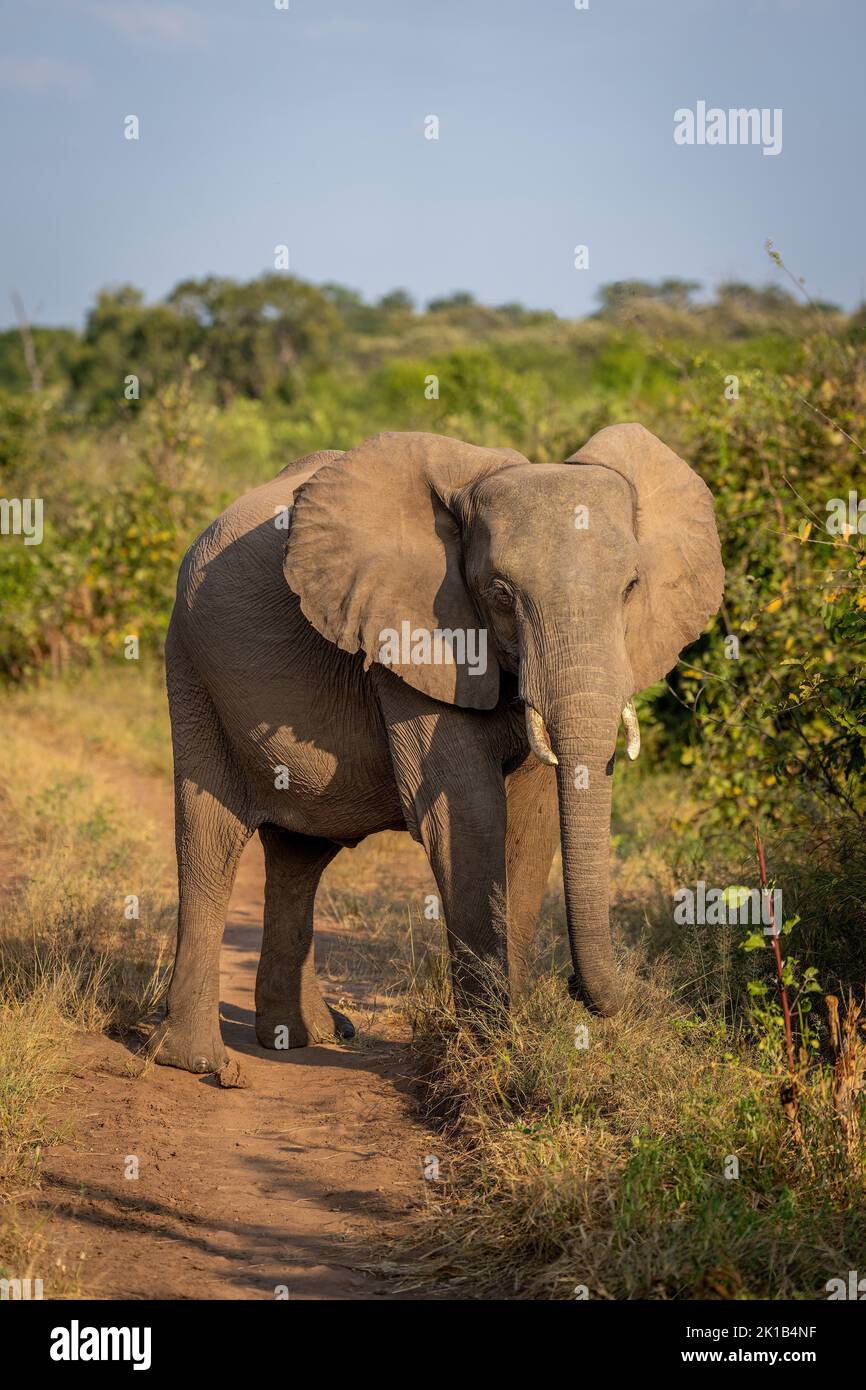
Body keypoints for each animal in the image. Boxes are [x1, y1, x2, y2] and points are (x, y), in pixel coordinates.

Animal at [152, 426, 724, 1074]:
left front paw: (508, 1038)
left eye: (630, 588)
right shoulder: (412, 636)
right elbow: (468, 816)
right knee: (210, 843)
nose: (575, 987)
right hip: (191, 668)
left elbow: (532, 823)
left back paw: (309, 1036)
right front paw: (494, 1051)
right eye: (499, 594)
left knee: (300, 857)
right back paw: (203, 1064)